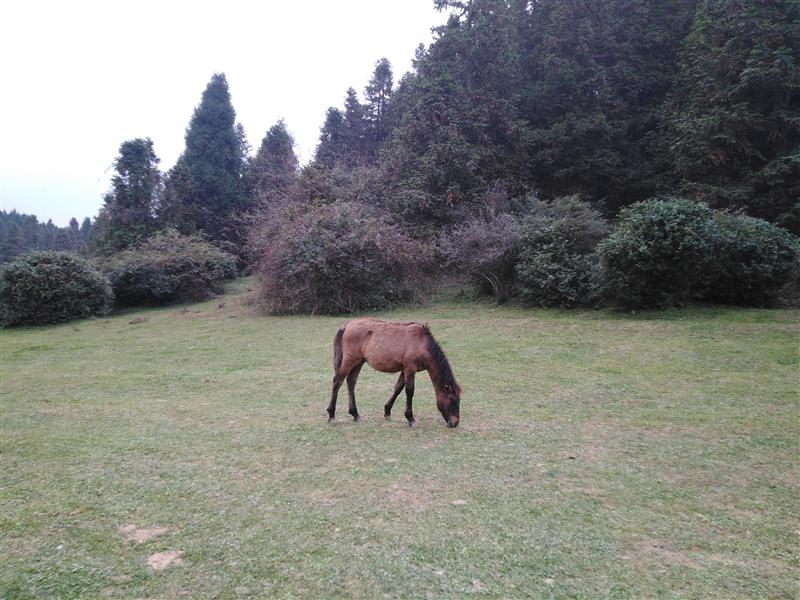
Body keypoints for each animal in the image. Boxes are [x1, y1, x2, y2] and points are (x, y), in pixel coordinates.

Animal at [327, 319, 461, 427]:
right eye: (452, 400)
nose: (455, 423)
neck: (422, 344)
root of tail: (346, 326)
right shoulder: (410, 369)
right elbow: (409, 391)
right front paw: (411, 419)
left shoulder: (404, 369)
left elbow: (398, 388)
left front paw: (387, 411)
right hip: (349, 361)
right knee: (337, 382)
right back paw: (331, 415)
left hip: (359, 362)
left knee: (351, 382)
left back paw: (355, 414)